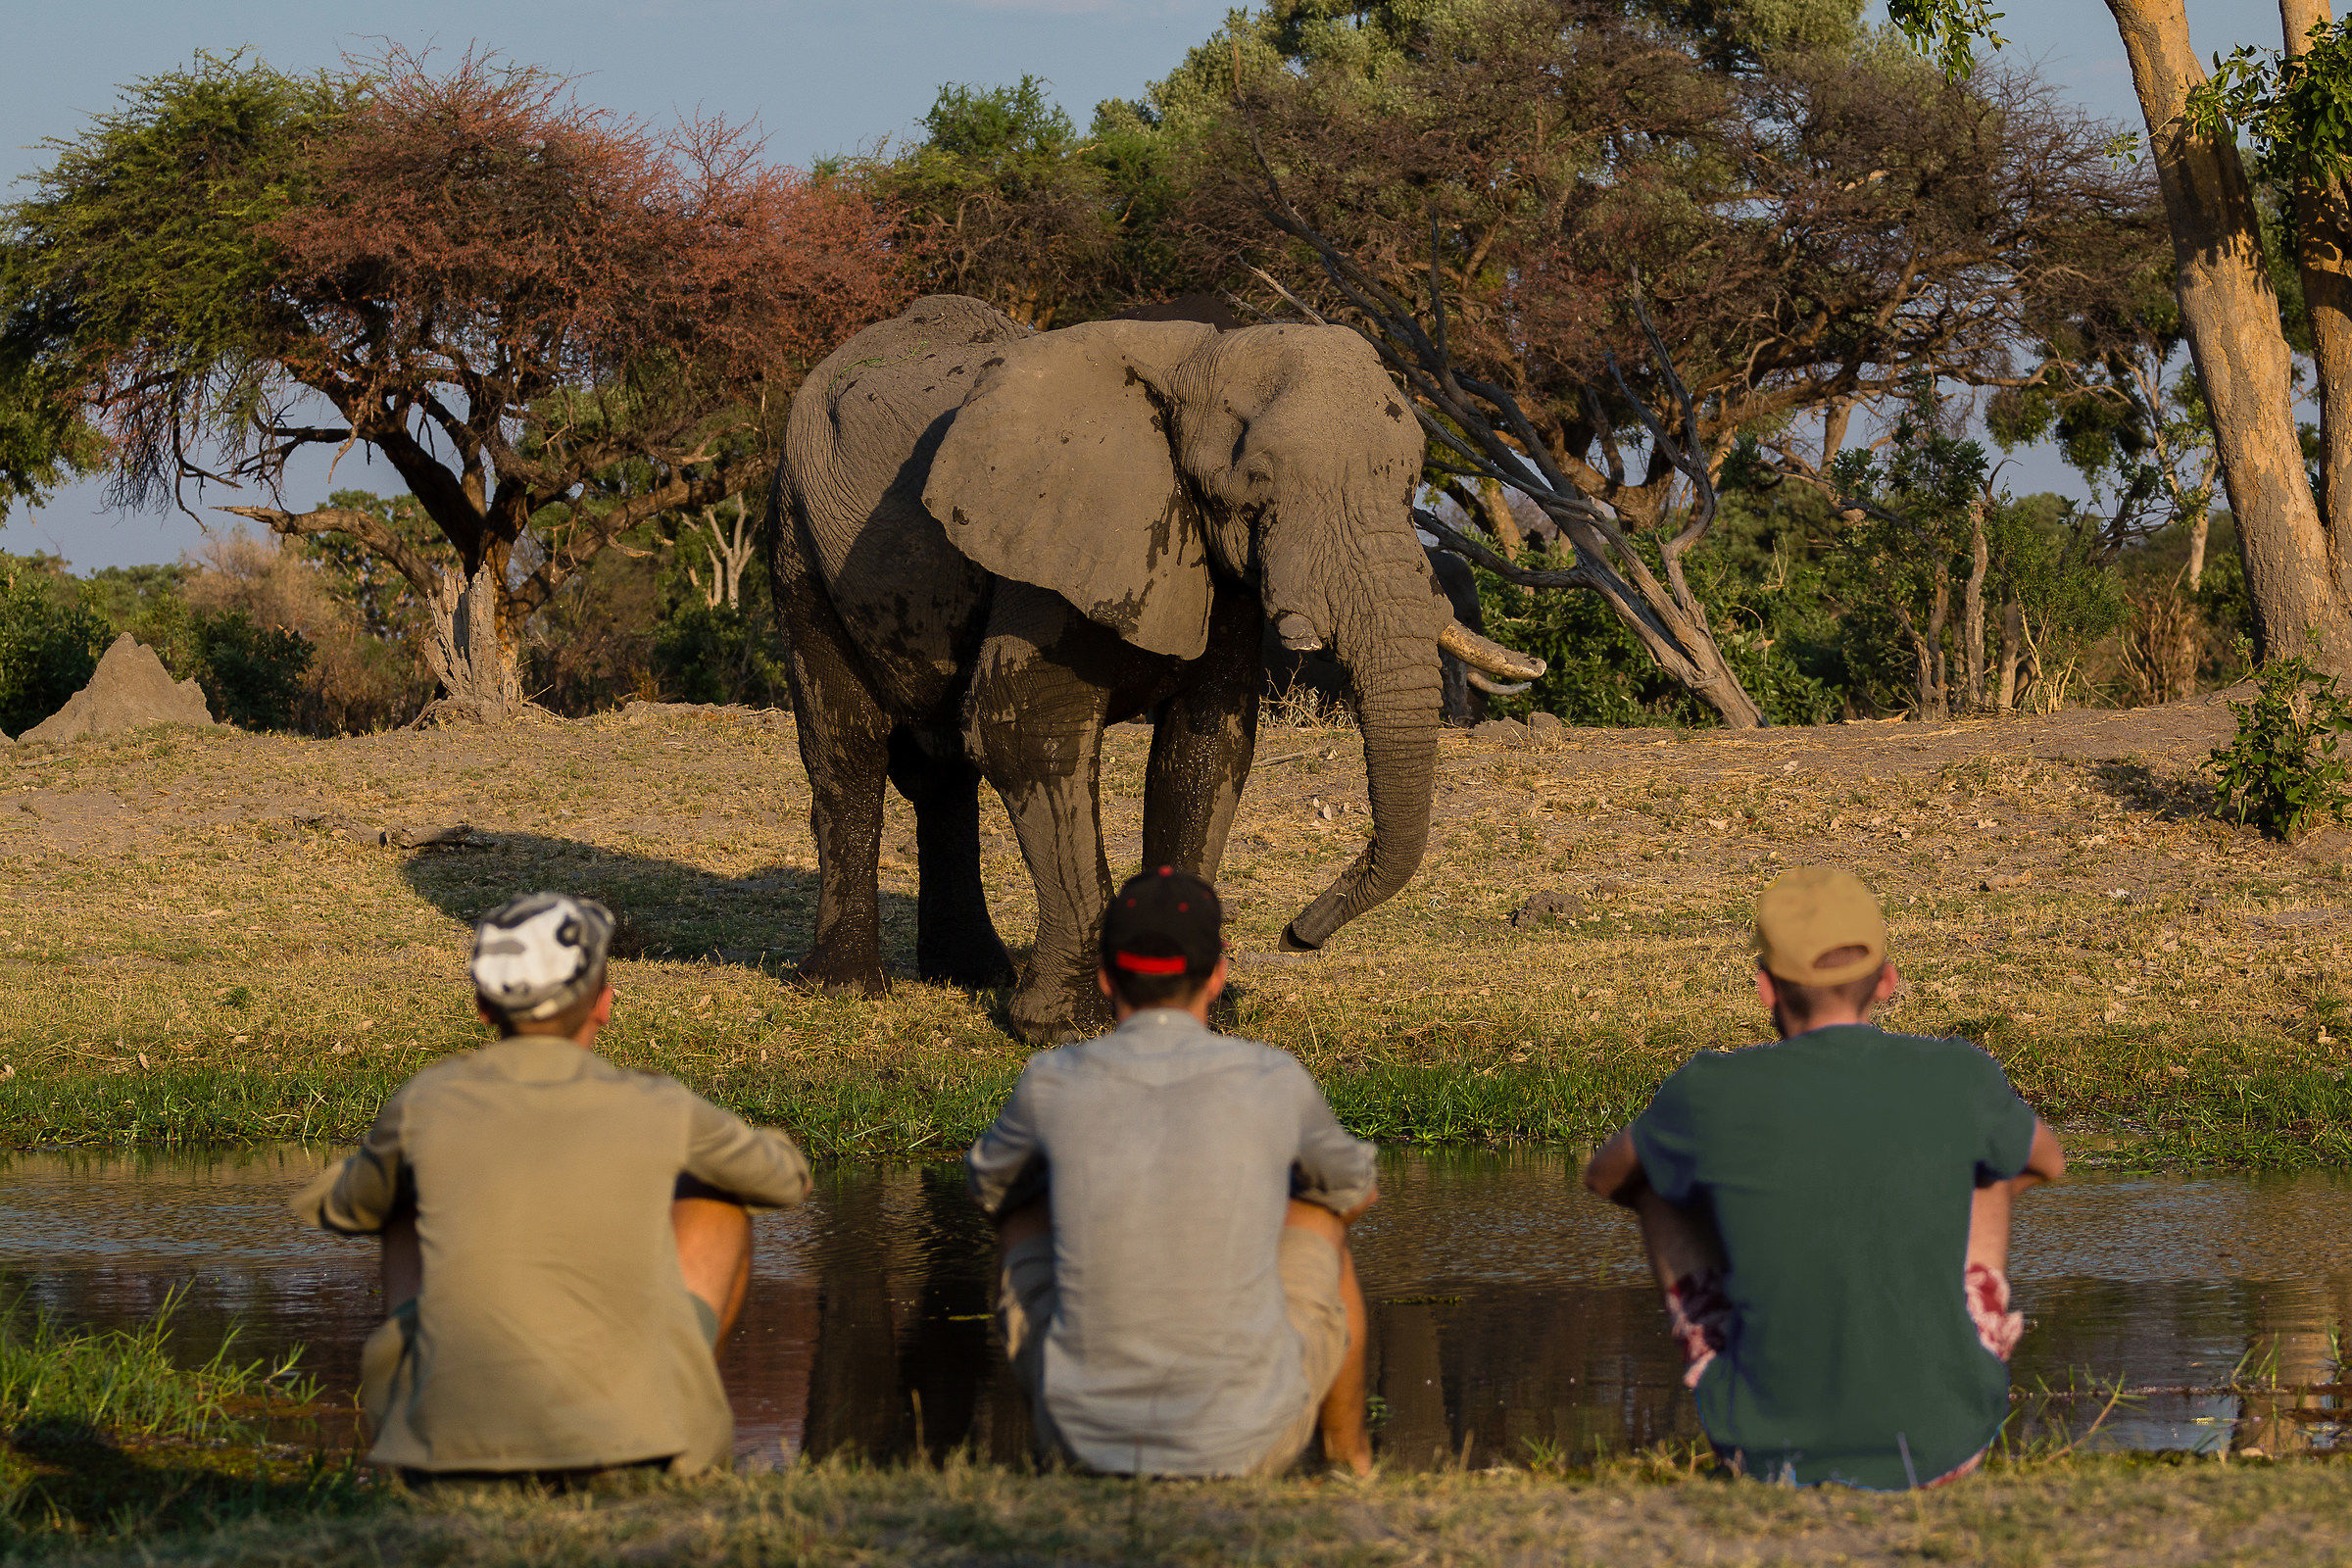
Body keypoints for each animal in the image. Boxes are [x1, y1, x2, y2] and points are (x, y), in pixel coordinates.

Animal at [768, 294, 1544, 1041]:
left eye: (1412, 481)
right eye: (1257, 485)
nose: (1296, 935)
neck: (1195, 358)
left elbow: (1204, 751)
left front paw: (1195, 1008)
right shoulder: (1052, 538)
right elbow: (1031, 735)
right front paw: (1064, 1026)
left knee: (940, 771)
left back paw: (972, 975)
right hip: (798, 534)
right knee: (849, 748)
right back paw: (846, 988)